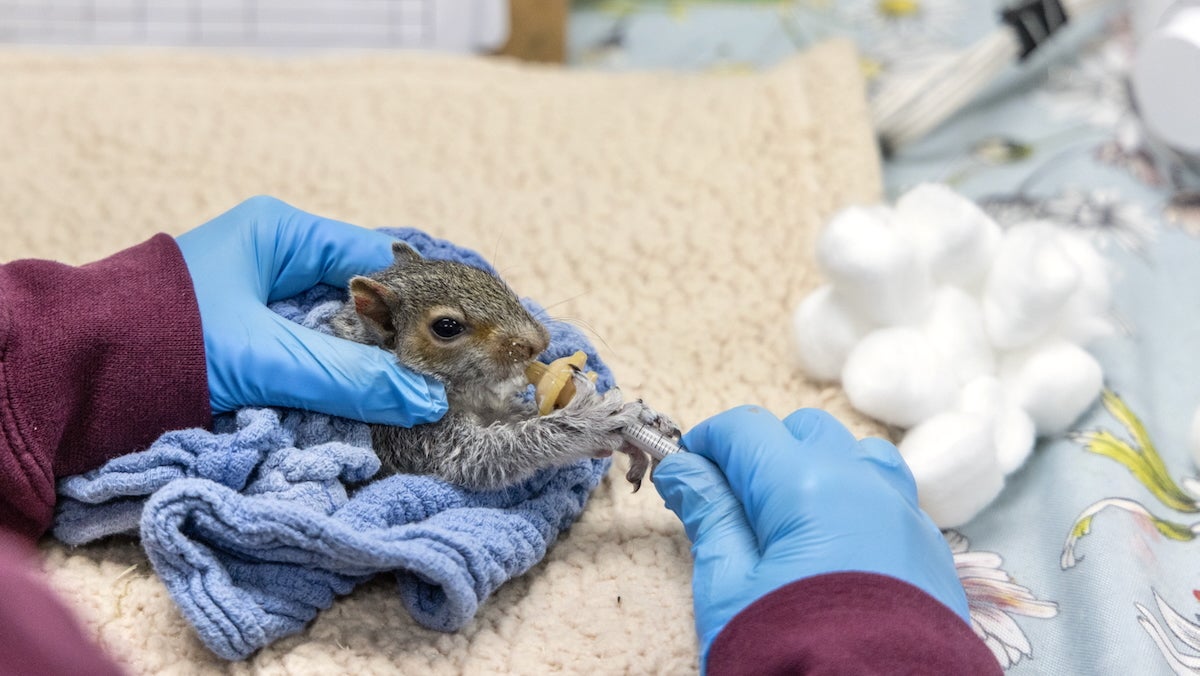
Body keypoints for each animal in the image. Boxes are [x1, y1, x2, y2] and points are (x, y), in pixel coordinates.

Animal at [330, 241, 670, 491]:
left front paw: (643, 423)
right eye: (446, 327)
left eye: (484, 275)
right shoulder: (406, 433)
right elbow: (485, 454)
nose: (539, 342)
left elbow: (519, 415)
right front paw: (591, 421)